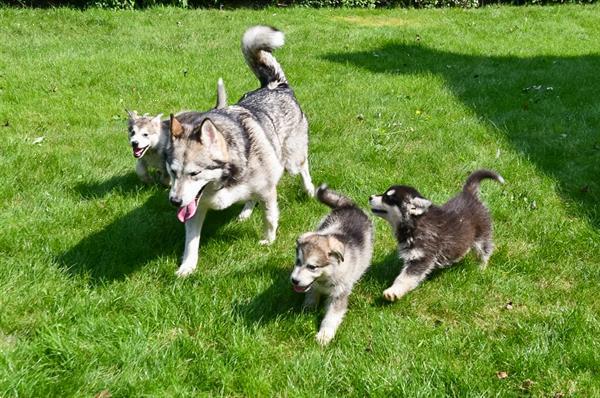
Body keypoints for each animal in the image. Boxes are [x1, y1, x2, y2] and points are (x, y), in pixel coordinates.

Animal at [164, 25, 314, 276]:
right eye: (173, 172)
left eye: (195, 173)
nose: (175, 202)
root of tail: (275, 85)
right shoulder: (196, 207)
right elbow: (191, 242)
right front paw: (187, 267)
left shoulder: (268, 191)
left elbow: (270, 218)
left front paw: (268, 240)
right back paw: (245, 211)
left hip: (292, 161)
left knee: (303, 169)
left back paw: (310, 190)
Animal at [292, 185, 372, 344]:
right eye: (298, 261)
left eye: (312, 267)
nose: (294, 280)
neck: (325, 279)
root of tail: (349, 206)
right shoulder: (313, 286)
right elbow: (311, 295)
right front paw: (307, 309)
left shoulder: (339, 295)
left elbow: (331, 317)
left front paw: (324, 335)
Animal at [368, 169, 504, 302]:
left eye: (388, 198)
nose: (370, 197)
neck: (415, 223)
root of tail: (469, 194)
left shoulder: (421, 257)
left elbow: (405, 277)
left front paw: (393, 291)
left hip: (482, 235)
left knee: (485, 251)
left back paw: (481, 268)